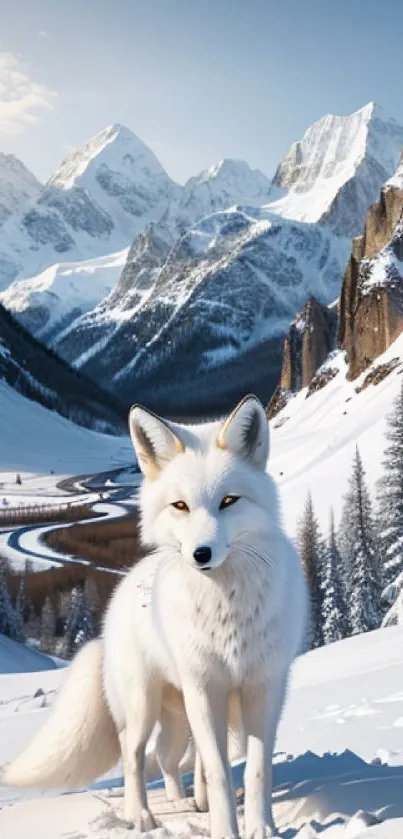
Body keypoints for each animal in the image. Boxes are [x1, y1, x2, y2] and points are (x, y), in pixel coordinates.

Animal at [2, 396, 306, 839]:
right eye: (180, 506)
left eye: (229, 501)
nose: (200, 554)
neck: (227, 610)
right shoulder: (205, 688)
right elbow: (219, 772)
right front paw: (225, 831)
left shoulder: (263, 688)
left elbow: (255, 770)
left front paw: (261, 828)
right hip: (143, 708)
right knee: (134, 757)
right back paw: (142, 816)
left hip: (180, 718)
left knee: (167, 758)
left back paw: (185, 801)